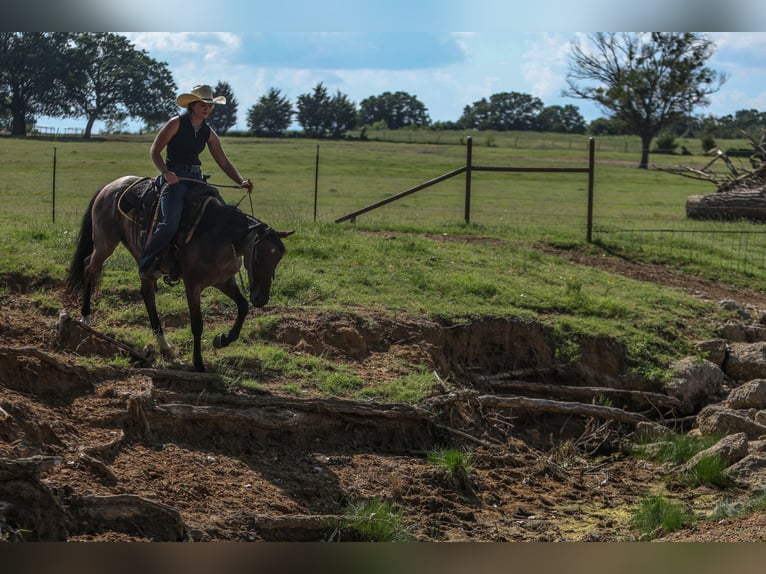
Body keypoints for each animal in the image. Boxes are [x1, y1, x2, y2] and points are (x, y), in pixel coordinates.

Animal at [66, 176, 292, 374]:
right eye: (259, 254)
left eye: (278, 258)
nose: (261, 299)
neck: (221, 235)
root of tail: (109, 186)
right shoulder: (192, 284)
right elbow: (197, 324)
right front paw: (198, 363)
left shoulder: (223, 280)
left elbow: (243, 306)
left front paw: (223, 339)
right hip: (105, 243)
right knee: (88, 267)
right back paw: (86, 316)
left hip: (140, 256)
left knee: (147, 293)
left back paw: (164, 346)